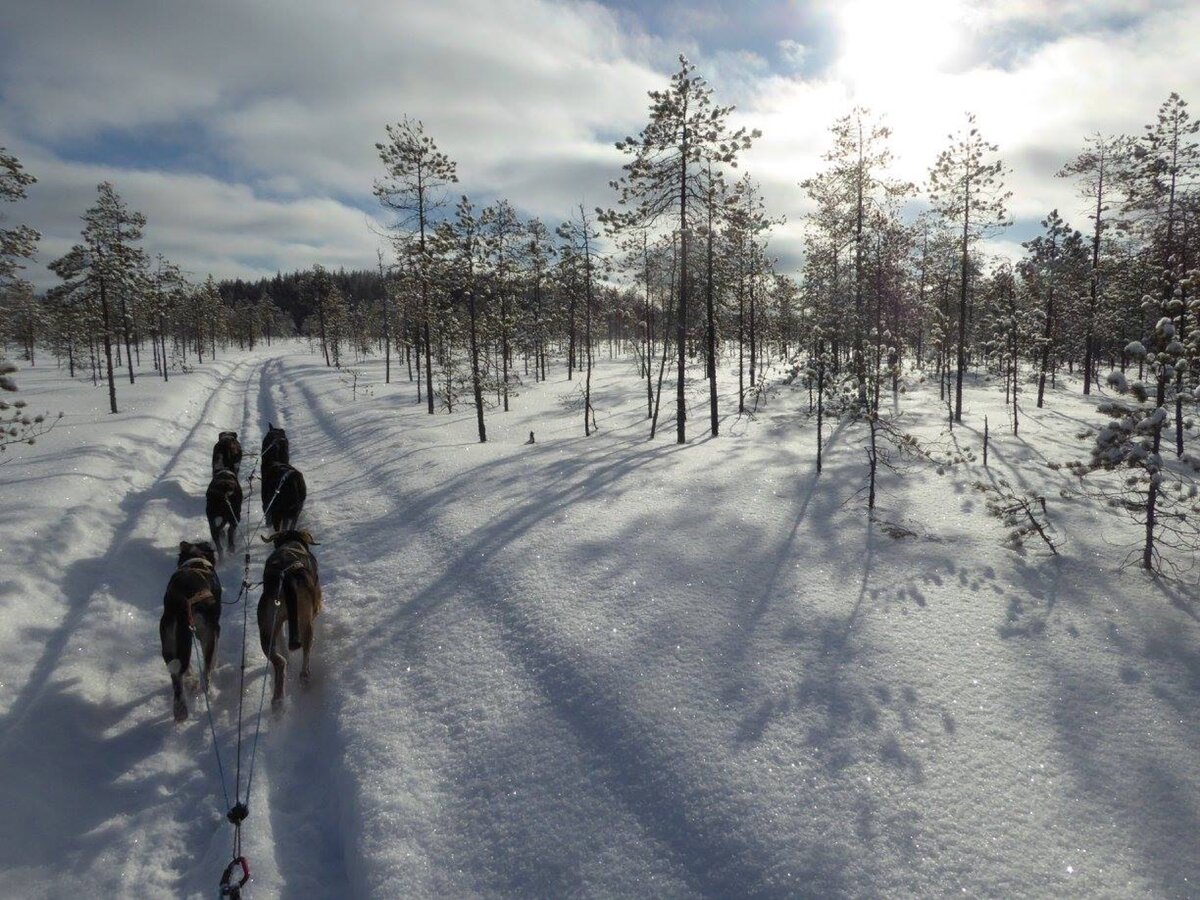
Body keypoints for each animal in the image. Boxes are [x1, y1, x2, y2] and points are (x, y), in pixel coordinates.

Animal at [159, 540, 223, 724]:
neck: (196, 559)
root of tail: (183, 599)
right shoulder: (215, 631)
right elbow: (212, 659)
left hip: (169, 642)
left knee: (177, 676)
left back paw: (181, 710)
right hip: (207, 635)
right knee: (206, 671)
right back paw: (205, 690)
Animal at [259, 532, 324, 710]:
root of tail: (286, 578)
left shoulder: (277, 624)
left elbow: (281, 637)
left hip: (266, 627)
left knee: (279, 661)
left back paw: (278, 699)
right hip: (305, 621)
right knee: (306, 651)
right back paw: (305, 677)